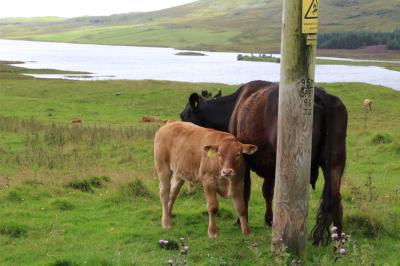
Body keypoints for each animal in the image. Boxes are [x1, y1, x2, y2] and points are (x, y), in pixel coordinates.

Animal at [181, 79, 346, 245]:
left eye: (183, 115)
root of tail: (320, 93)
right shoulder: (270, 164)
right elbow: (268, 191)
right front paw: (269, 219)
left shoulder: (243, 160)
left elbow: (245, 191)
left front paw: (242, 221)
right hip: (335, 161)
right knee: (335, 197)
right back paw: (339, 242)